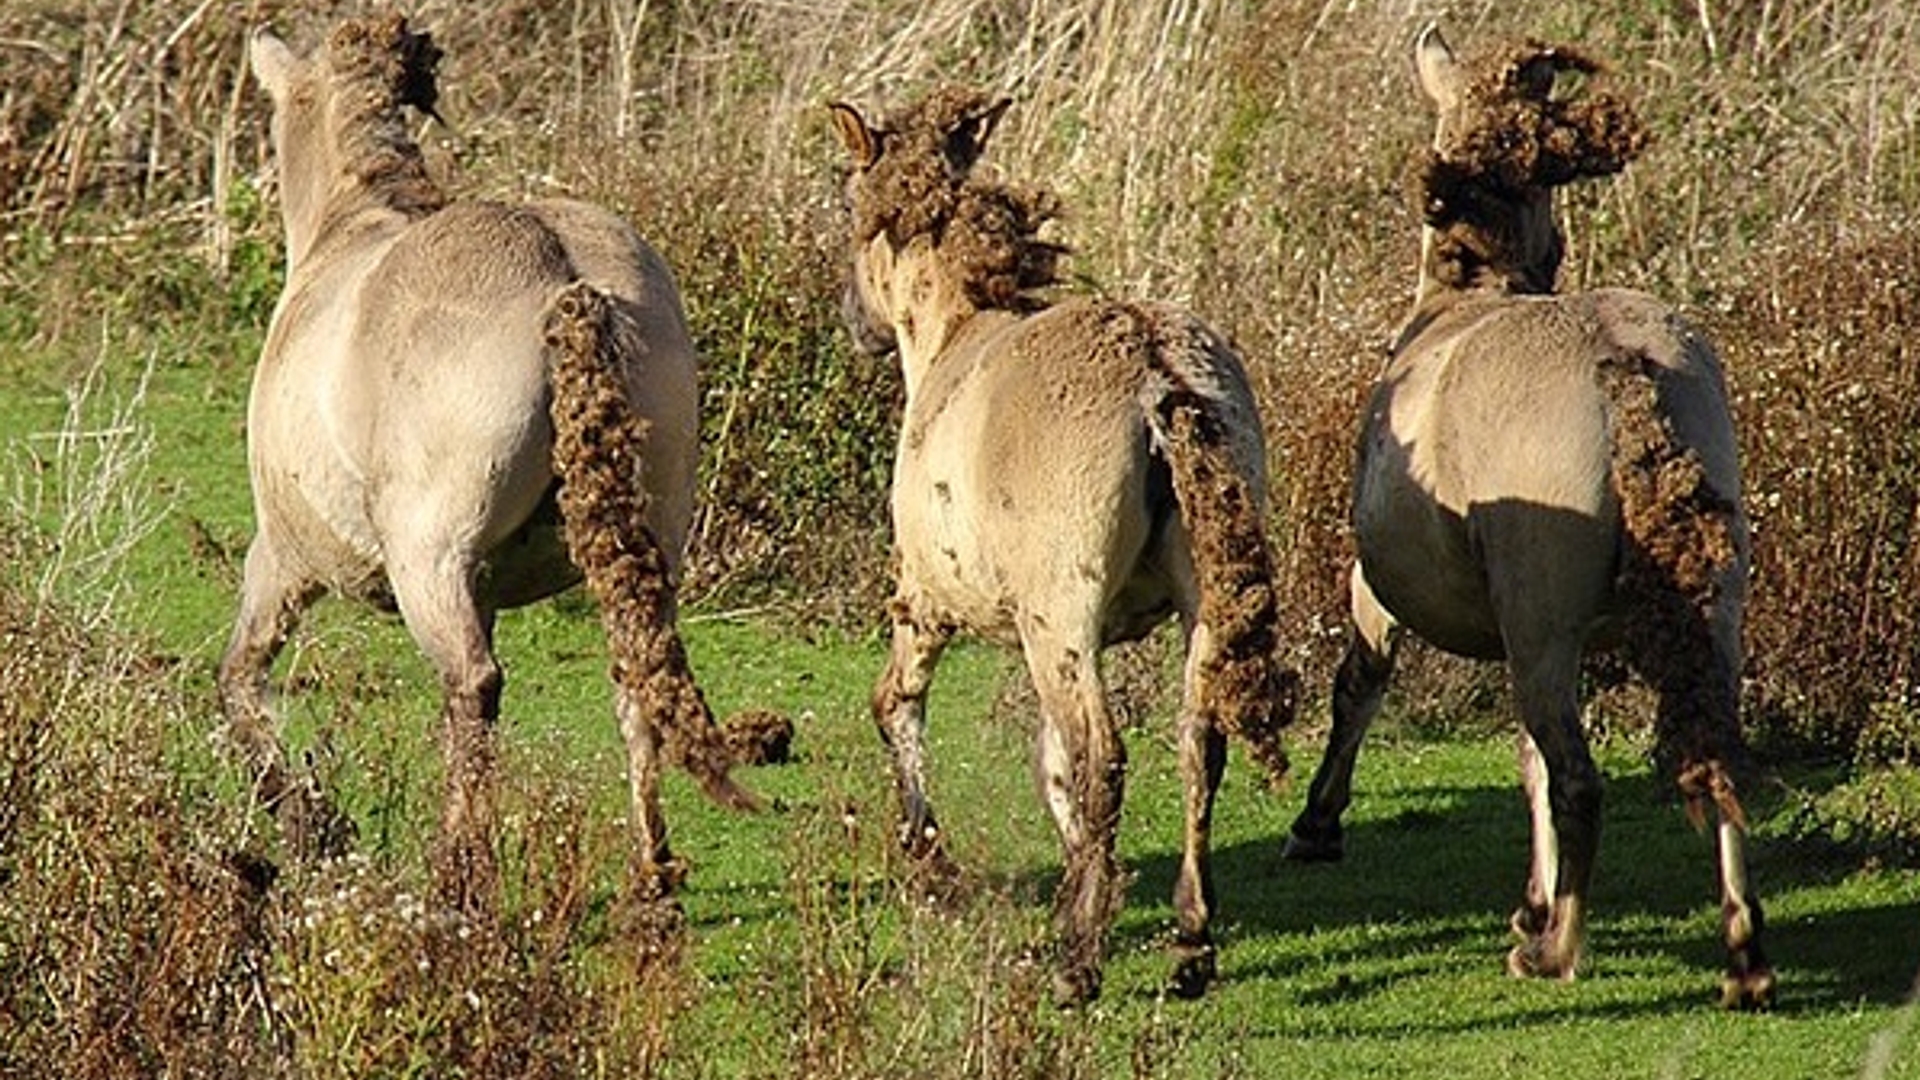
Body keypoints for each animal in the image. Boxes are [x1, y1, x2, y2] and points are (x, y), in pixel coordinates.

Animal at [226, 12, 756, 910]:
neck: (352, 224)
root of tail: (565, 282)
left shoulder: (287, 559)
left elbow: (238, 685)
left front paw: (315, 827)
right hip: (645, 548)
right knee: (634, 680)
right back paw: (651, 870)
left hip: (427, 561)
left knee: (472, 684)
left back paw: (458, 880)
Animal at [825, 85, 1290, 999]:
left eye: (854, 213)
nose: (857, 323)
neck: (955, 334)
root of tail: (1156, 372)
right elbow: (1051, 769)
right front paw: (1089, 879)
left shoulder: (929, 602)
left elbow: (897, 704)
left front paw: (935, 870)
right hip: (1191, 609)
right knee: (1197, 744)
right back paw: (1190, 943)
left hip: (1060, 617)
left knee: (1103, 753)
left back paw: (1078, 962)